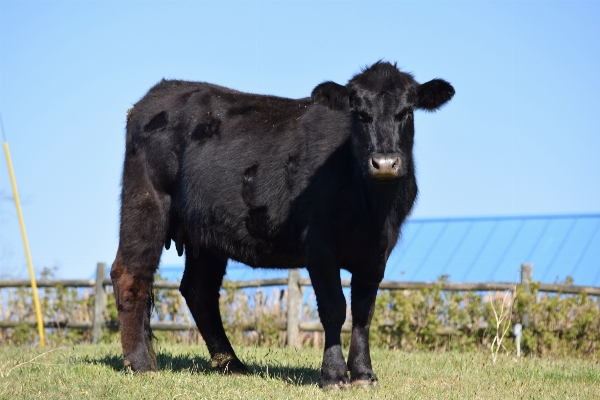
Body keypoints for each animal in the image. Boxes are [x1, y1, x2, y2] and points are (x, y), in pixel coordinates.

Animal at [110, 61, 452, 390]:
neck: (371, 206)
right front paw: (334, 376)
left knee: (199, 290)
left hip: (205, 231)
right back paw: (141, 363)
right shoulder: (319, 244)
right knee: (130, 274)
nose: (384, 163)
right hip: (146, 202)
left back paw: (231, 363)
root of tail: (159, 92)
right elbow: (334, 308)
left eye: (406, 112)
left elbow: (363, 313)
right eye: (360, 114)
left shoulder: (377, 251)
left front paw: (364, 374)